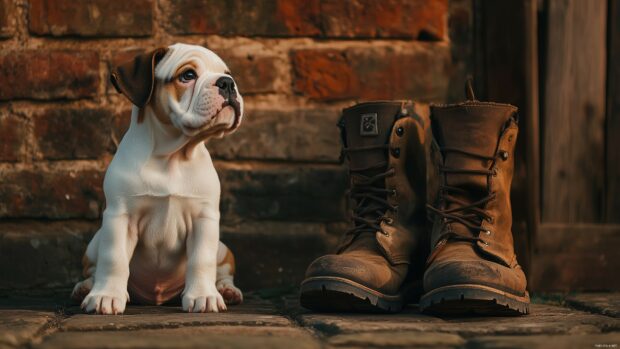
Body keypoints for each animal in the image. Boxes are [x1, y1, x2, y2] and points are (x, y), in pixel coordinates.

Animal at [73, 42, 245, 312]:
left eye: (228, 74)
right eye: (188, 75)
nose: (228, 83)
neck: (172, 157)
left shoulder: (204, 219)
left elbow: (201, 260)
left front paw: (203, 296)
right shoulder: (120, 216)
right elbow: (113, 258)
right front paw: (106, 296)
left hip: (223, 249)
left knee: (223, 271)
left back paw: (226, 291)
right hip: (94, 244)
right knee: (94, 267)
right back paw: (86, 288)